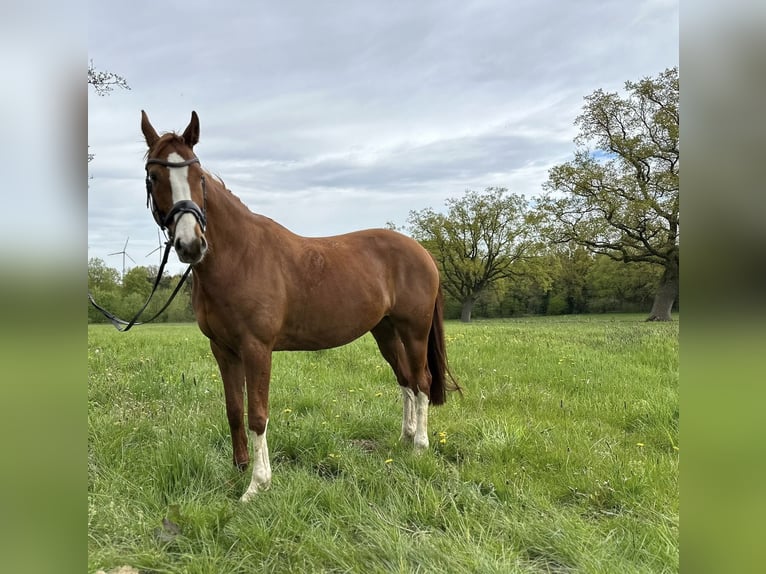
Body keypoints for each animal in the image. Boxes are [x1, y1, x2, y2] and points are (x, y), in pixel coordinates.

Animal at [140, 110, 461, 501]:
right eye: (154, 177)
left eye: (198, 175)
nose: (190, 244)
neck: (240, 256)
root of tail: (422, 251)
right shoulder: (223, 349)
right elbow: (234, 409)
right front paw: (238, 471)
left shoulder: (257, 349)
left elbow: (256, 414)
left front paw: (257, 486)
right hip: (385, 332)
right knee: (406, 382)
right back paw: (405, 438)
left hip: (414, 330)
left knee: (423, 382)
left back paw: (420, 447)